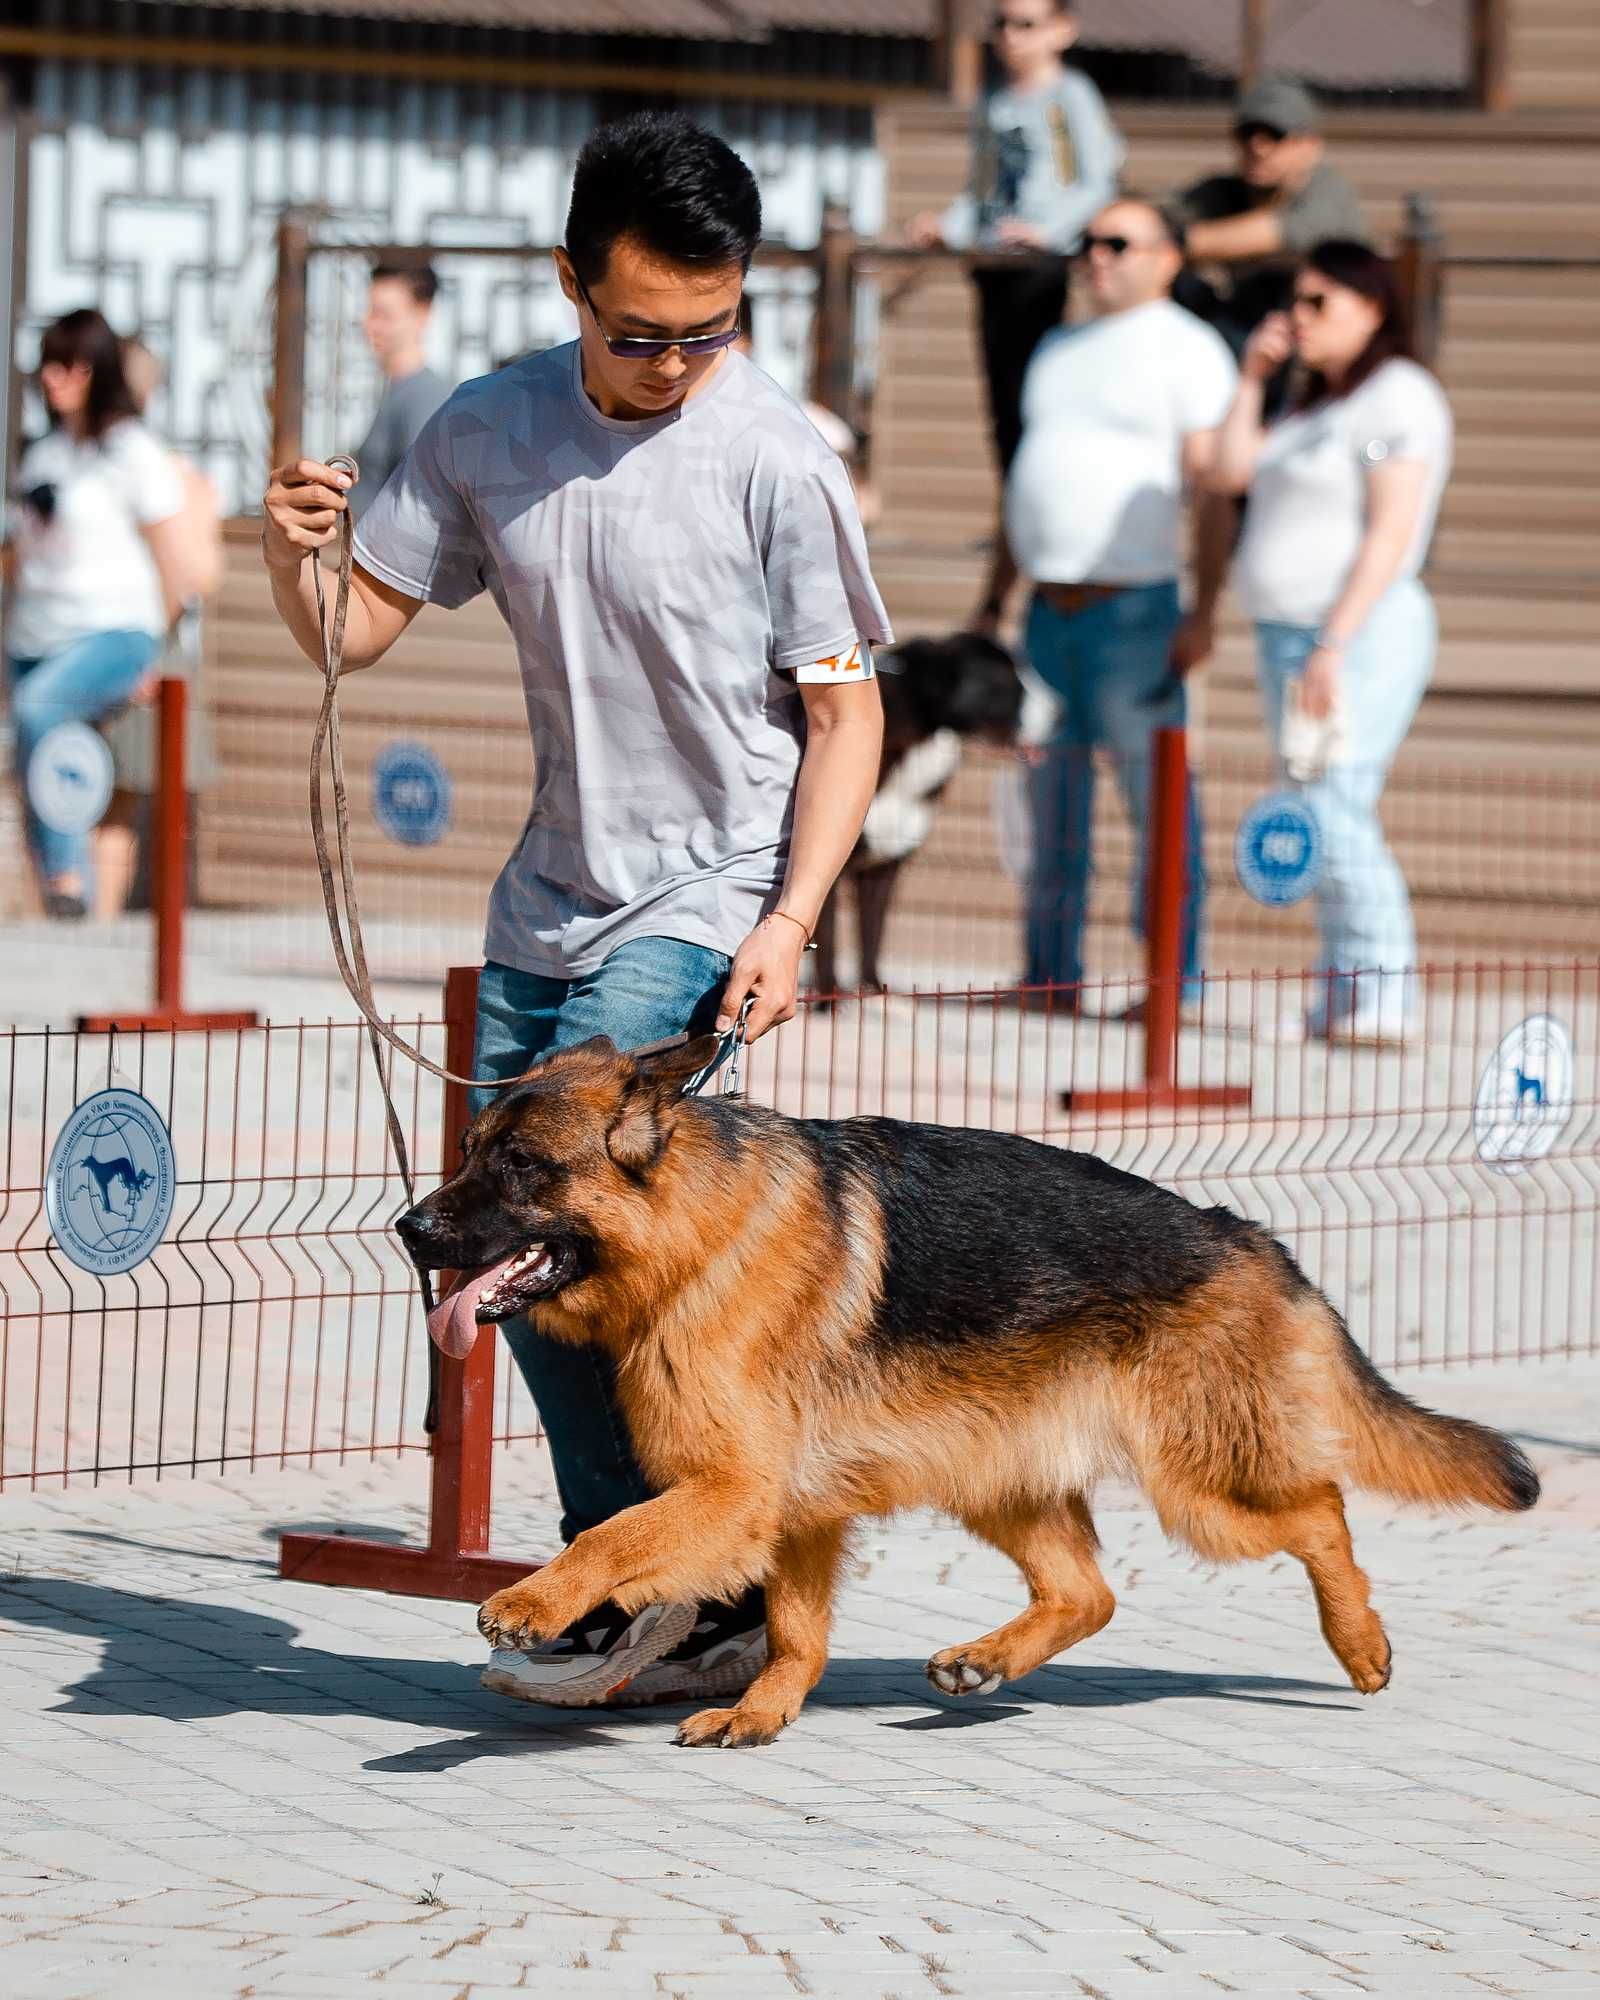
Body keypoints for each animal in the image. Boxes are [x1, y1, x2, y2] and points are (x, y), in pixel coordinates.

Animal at [396, 1032, 1536, 1752]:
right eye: (468, 1152)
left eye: (521, 1164)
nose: (407, 1228)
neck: (697, 1233)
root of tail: (1246, 1233)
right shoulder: (795, 1509)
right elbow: (798, 1630)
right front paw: (764, 1712)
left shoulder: (736, 1493)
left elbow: (606, 1539)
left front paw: (532, 1602)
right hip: (996, 1476)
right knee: (1088, 1591)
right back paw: (983, 1665)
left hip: (1200, 1490)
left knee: (1321, 1512)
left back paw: (1361, 1643)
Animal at [812, 632, 1024, 1000]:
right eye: (1003, 681)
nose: (1060, 713)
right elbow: (828, 941)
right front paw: (831, 1001)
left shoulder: (885, 866)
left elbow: (873, 933)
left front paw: (873, 992)